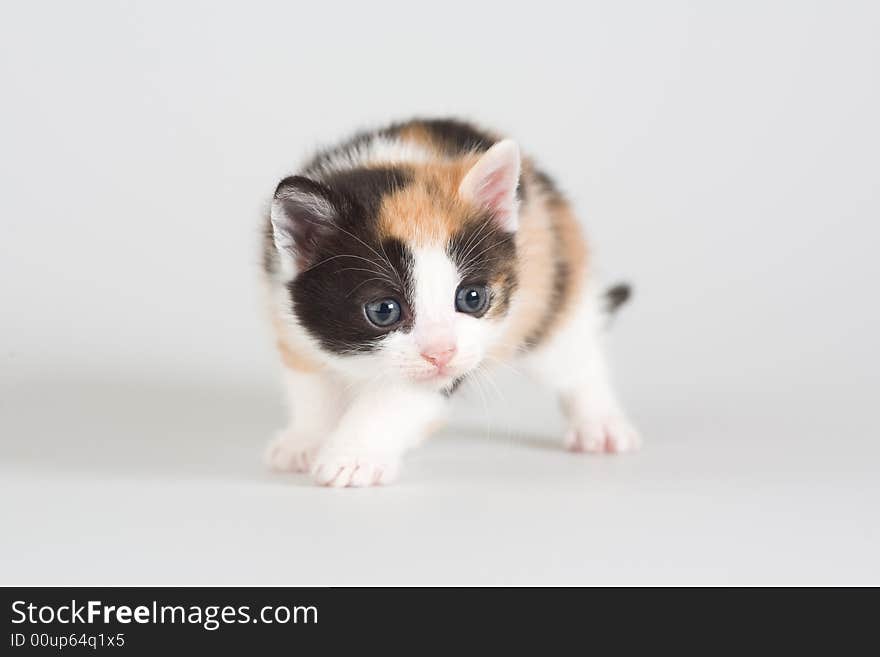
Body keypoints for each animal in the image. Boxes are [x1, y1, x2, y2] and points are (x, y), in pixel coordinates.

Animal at [262, 119, 640, 486]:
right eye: (384, 310)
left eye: (472, 299)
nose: (441, 353)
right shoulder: (286, 309)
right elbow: (312, 385)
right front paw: (305, 441)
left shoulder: (458, 362)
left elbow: (395, 400)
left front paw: (353, 457)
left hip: (551, 281)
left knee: (572, 354)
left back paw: (599, 423)